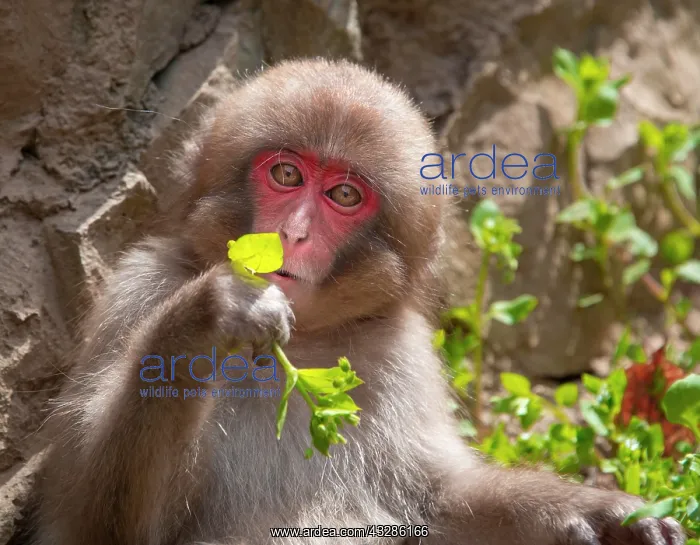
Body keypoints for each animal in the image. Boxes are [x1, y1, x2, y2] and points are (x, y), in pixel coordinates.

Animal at [29, 58, 685, 545]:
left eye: (344, 195)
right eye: (287, 176)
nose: (293, 234)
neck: (304, 337)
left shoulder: (402, 351)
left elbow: (441, 500)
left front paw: (608, 513)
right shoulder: (139, 287)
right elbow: (100, 527)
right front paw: (210, 315)